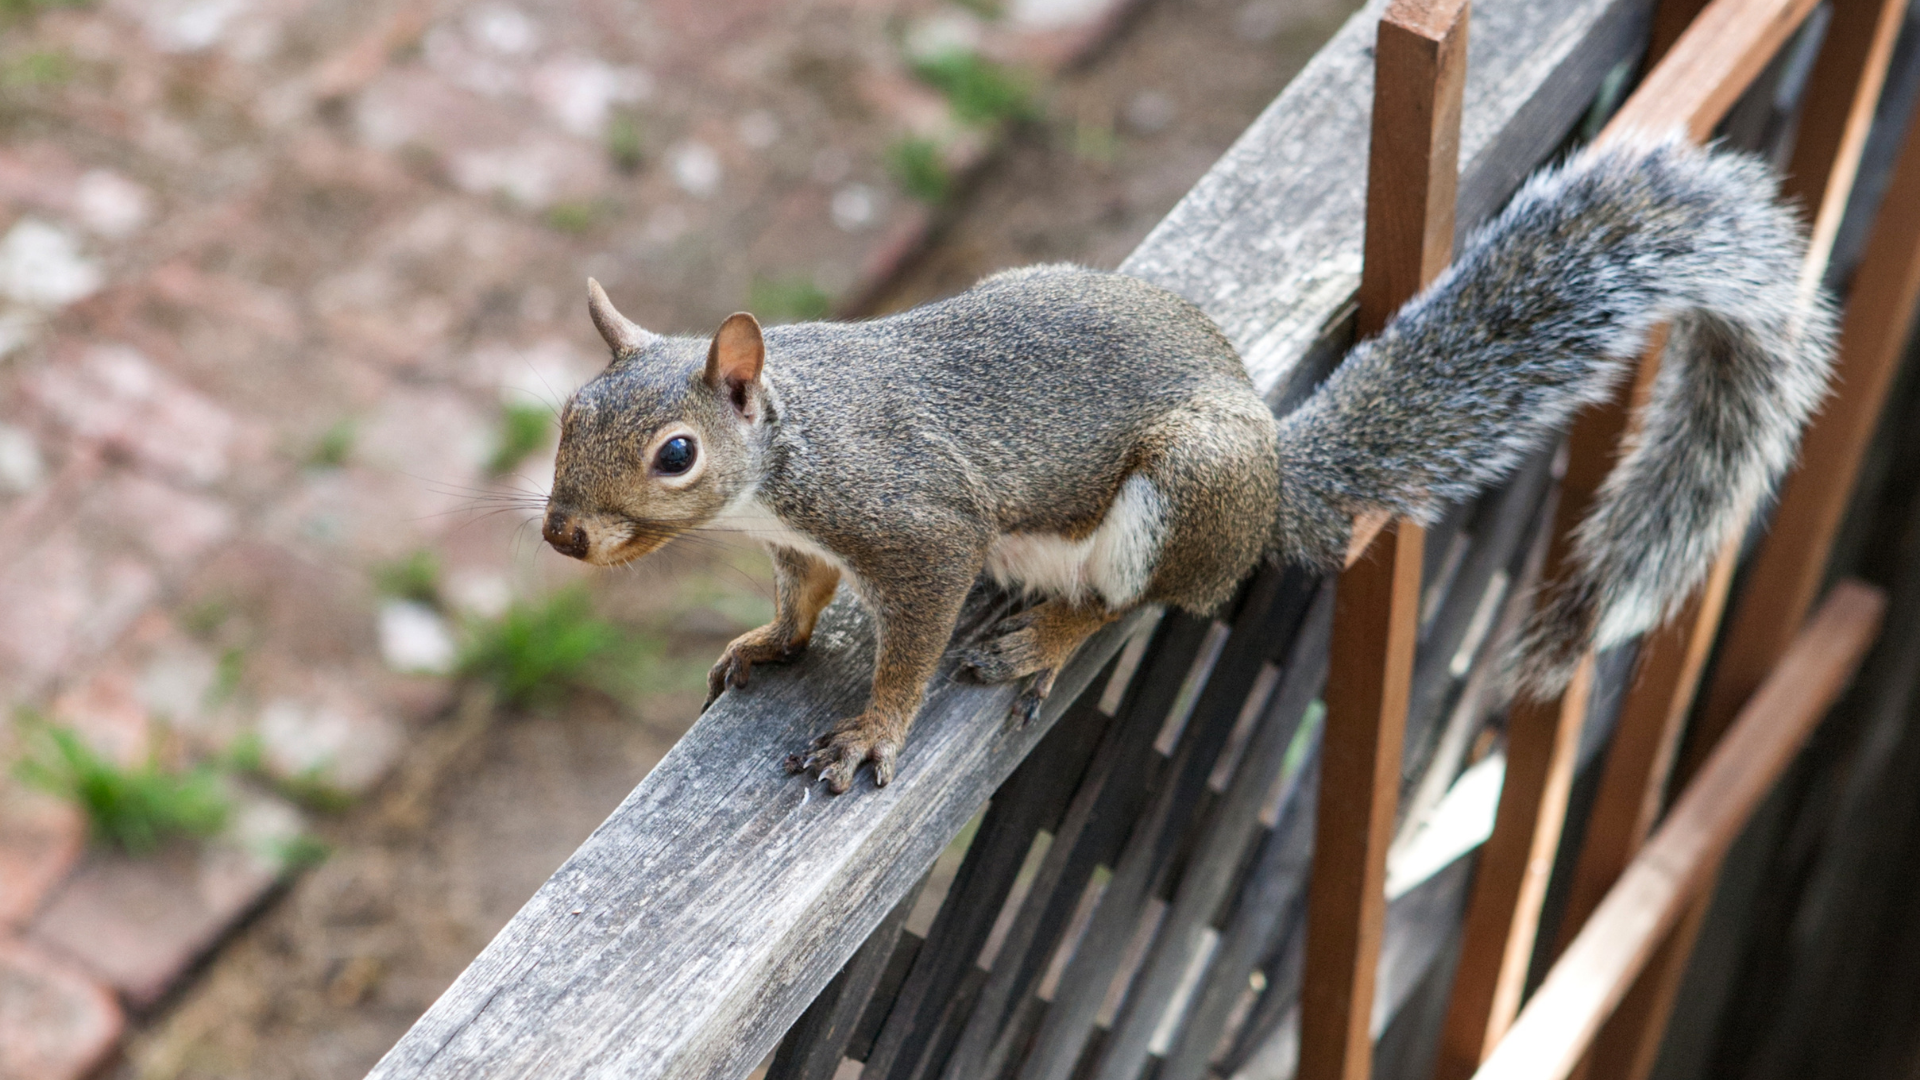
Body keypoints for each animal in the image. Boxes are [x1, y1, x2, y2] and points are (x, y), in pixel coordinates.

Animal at [541, 137, 1835, 794]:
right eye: (565, 416)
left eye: (673, 454)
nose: (562, 535)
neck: (789, 447)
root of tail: (1267, 488)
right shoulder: (805, 542)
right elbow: (803, 600)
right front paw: (769, 642)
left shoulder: (912, 522)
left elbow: (910, 631)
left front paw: (872, 731)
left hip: (1183, 491)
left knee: (1151, 597)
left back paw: (1046, 635)